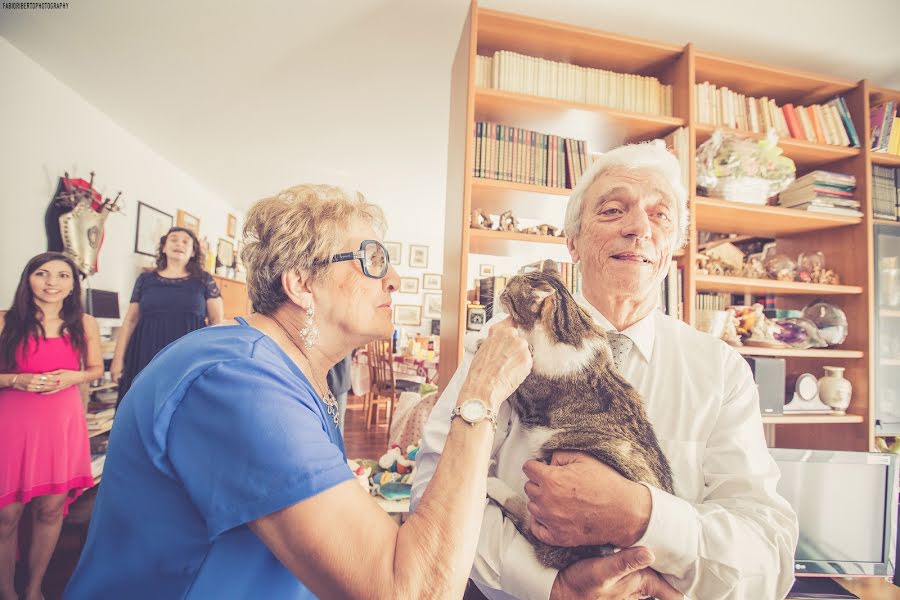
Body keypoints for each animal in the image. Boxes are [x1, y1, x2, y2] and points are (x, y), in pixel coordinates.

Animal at [488, 264, 672, 568]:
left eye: (510, 290)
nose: (498, 293)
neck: (571, 325)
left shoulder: (531, 399)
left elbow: (522, 382)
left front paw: (484, 338)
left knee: (532, 529)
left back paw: (493, 484)